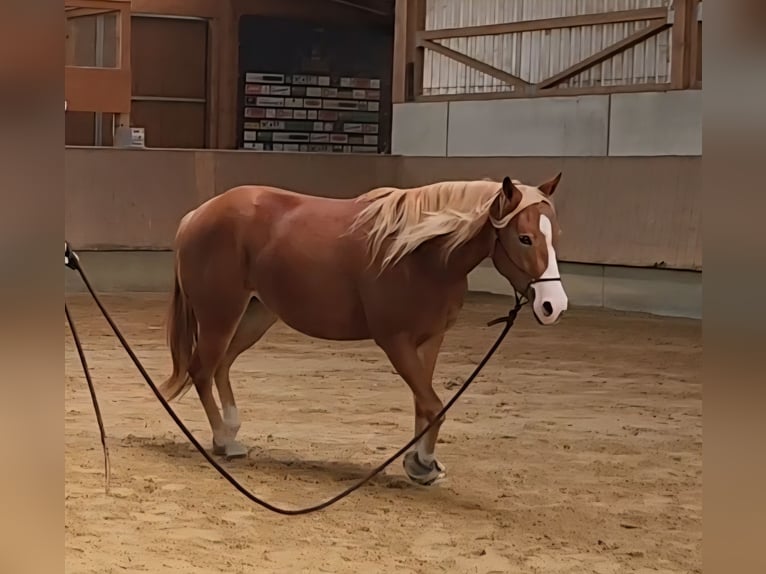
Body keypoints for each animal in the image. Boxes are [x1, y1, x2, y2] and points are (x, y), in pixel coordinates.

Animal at [158, 174, 568, 485]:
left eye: (554, 236)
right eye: (524, 238)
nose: (554, 306)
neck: (420, 254)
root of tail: (197, 215)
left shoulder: (430, 340)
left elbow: (424, 402)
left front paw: (418, 462)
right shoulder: (396, 342)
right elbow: (434, 404)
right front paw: (423, 465)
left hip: (256, 315)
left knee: (221, 365)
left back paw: (231, 431)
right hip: (220, 315)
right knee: (201, 370)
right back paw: (223, 440)